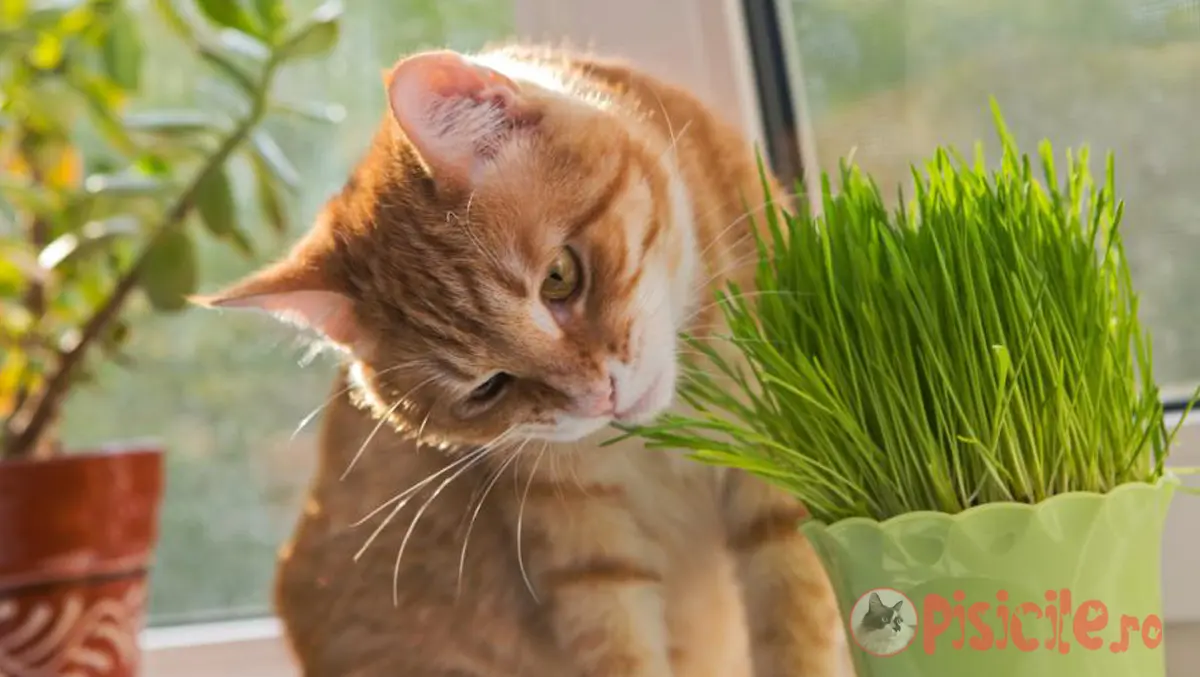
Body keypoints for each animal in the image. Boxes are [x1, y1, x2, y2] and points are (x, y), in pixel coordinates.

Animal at [196, 45, 849, 672]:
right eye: (489, 388)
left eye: (560, 277)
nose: (600, 397)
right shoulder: (584, 550)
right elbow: (618, 649)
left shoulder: (785, 465)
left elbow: (799, 621)